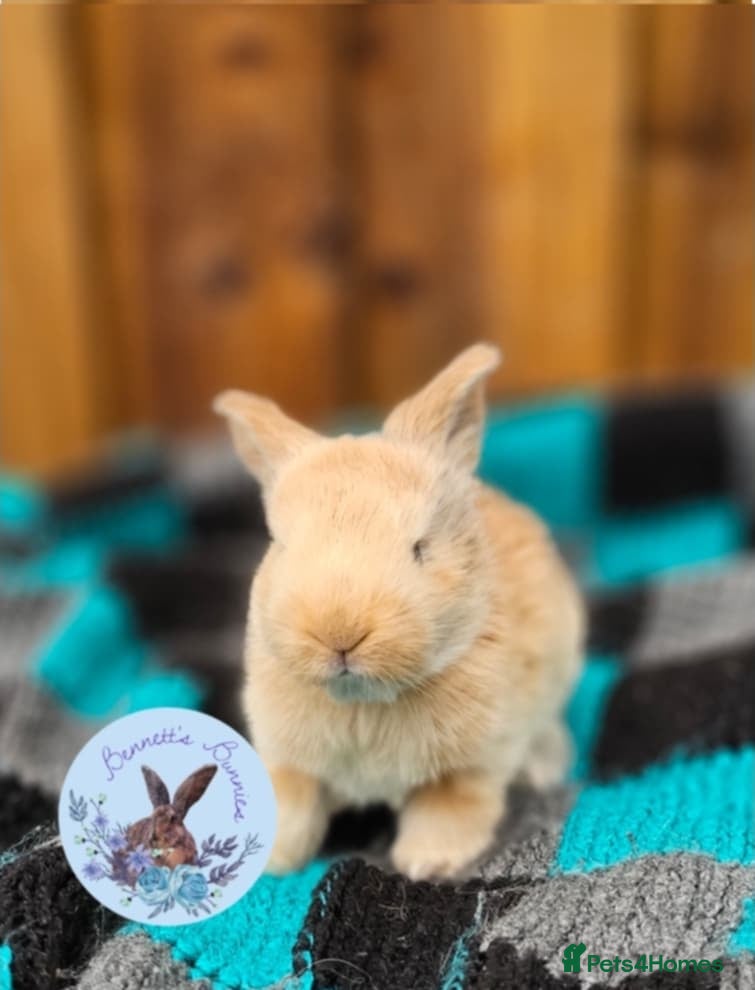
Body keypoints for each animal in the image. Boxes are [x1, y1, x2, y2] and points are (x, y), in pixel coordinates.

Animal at [214, 343, 584, 881]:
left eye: (419, 548)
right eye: (279, 545)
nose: (340, 634)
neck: (364, 702)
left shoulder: (471, 766)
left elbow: (448, 809)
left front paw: (428, 864)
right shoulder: (289, 762)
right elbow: (293, 806)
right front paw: (274, 861)